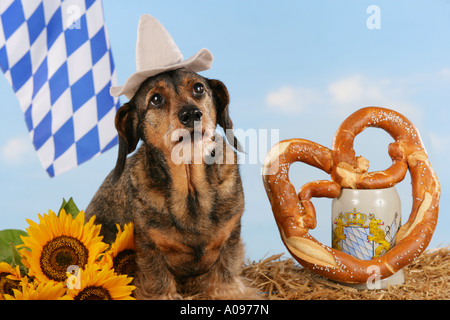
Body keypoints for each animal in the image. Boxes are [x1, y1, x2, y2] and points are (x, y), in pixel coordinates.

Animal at [85, 68, 258, 300]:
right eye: (156, 99)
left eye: (198, 88)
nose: (191, 114)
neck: (191, 191)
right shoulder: (149, 247)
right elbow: (158, 279)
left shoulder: (231, 235)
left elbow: (226, 271)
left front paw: (228, 291)